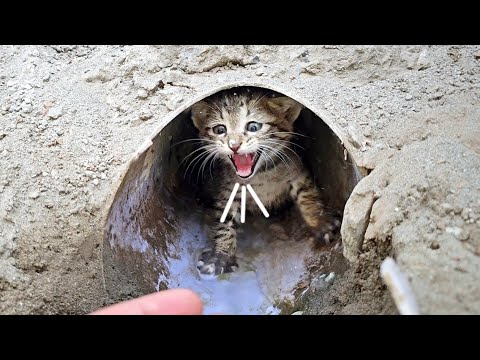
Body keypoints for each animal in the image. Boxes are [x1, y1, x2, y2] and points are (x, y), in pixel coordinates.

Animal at [188, 88, 338, 274]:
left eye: (253, 127)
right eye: (220, 129)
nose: (234, 145)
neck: (261, 175)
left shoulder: (297, 171)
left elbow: (307, 196)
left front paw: (320, 222)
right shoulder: (227, 190)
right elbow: (224, 221)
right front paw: (221, 254)